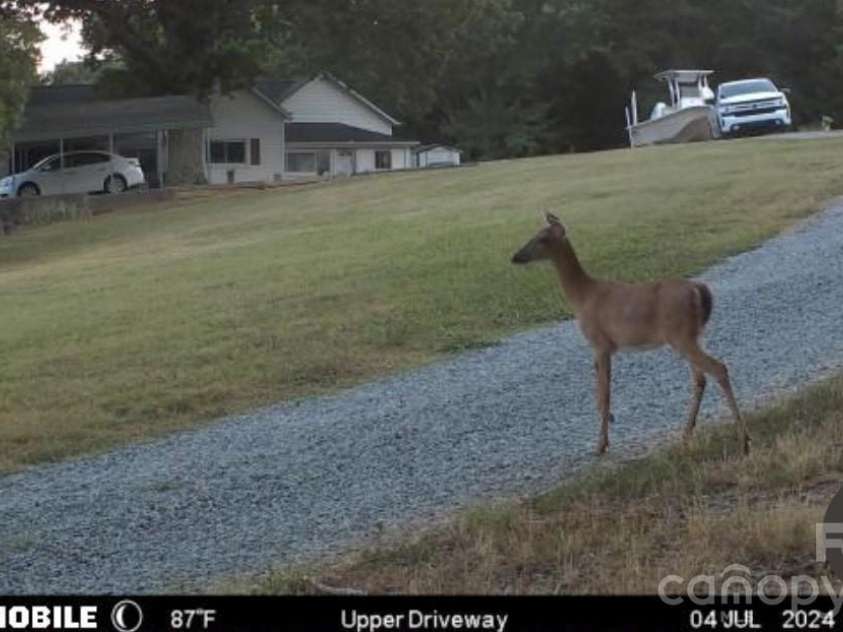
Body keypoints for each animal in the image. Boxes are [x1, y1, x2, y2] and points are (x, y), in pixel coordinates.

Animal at [511, 212, 749, 456]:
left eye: (542, 238)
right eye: (534, 234)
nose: (515, 257)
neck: (582, 297)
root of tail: (698, 289)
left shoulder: (600, 343)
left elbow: (606, 393)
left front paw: (601, 445)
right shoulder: (602, 348)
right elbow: (600, 392)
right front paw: (608, 426)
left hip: (680, 335)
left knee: (718, 368)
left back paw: (743, 439)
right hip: (693, 335)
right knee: (701, 378)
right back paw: (687, 434)